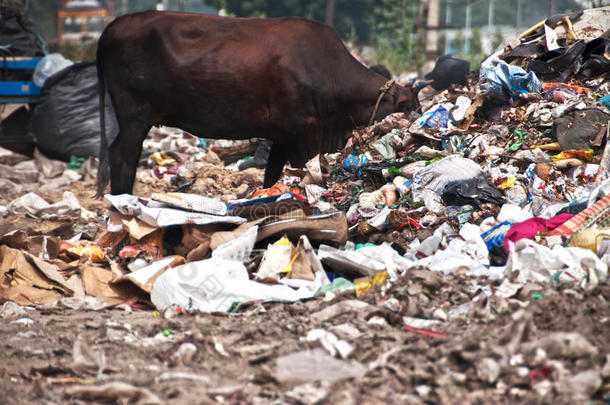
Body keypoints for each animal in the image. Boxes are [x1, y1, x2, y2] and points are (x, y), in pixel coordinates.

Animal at [95, 11, 418, 195]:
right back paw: (123, 201)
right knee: (122, 156)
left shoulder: (283, 135)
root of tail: (112, 27)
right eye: (407, 107)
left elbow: (273, 174)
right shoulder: (303, 132)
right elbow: (304, 172)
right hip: (135, 115)